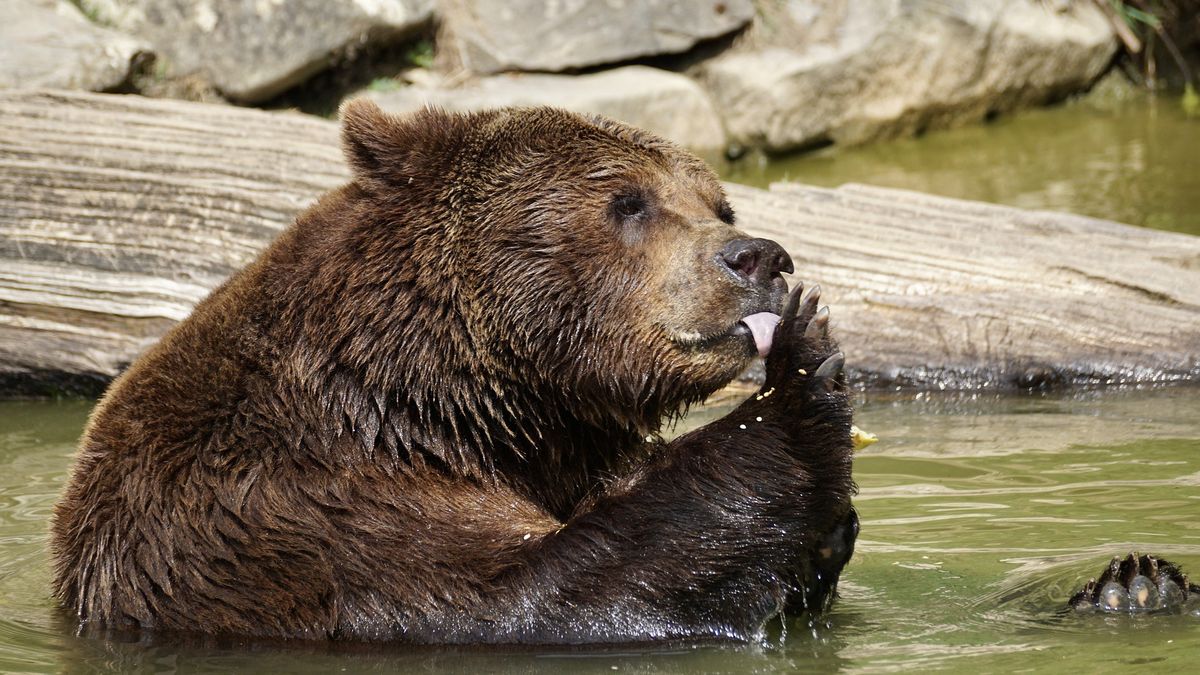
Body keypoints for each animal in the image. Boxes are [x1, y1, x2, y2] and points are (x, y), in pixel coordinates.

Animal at [51, 99, 859, 638]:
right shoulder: (291, 515)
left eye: (719, 204)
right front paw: (803, 377)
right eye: (628, 201)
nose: (759, 257)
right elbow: (529, 596)